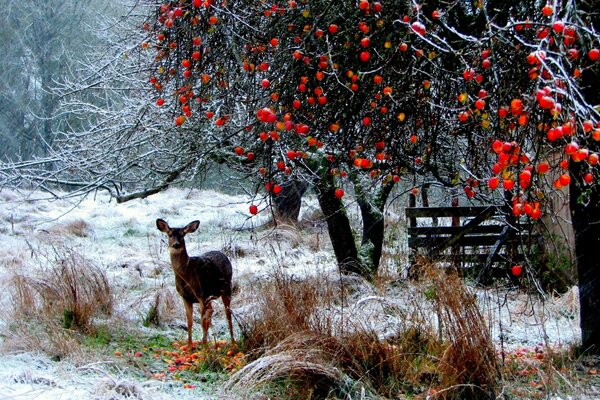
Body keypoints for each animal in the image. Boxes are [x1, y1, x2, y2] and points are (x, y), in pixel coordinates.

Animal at [157, 217, 234, 348]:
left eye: (182, 235)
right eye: (170, 234)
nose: (176, 245)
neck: (186, 274)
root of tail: (223, 254)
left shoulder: (200, 294)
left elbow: (203, 322)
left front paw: (204, 348)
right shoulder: (185, 297)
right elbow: (190, 322)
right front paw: (189, 346)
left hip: (226, 288)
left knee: (227, 313)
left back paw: (232, 342)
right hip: (209, 296)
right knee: (211, 311)